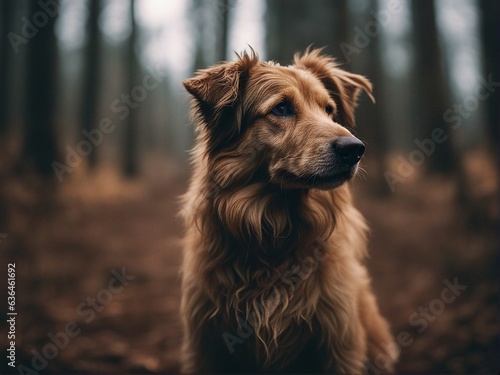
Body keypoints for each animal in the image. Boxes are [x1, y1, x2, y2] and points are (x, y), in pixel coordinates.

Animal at [181, 48, 398, 374]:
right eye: (281, 108)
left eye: (329, 110)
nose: (355, 149)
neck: (274, 229)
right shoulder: (207, 345)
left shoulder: (340, 342)